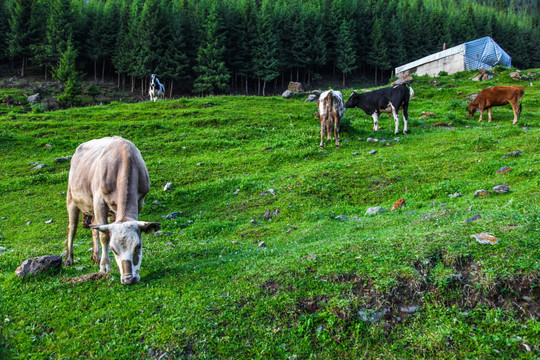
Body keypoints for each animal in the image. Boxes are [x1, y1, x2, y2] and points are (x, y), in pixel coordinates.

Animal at [65, 136, 160, 286]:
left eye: (138, 247)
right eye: (113, 250)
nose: (128, 279)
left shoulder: (140, 201)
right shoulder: (99, 202)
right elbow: (104, 236)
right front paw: (104, 267)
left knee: (94, 226)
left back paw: (96, 257)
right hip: (72, 198)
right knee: (72, 228)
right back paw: (69, 259)